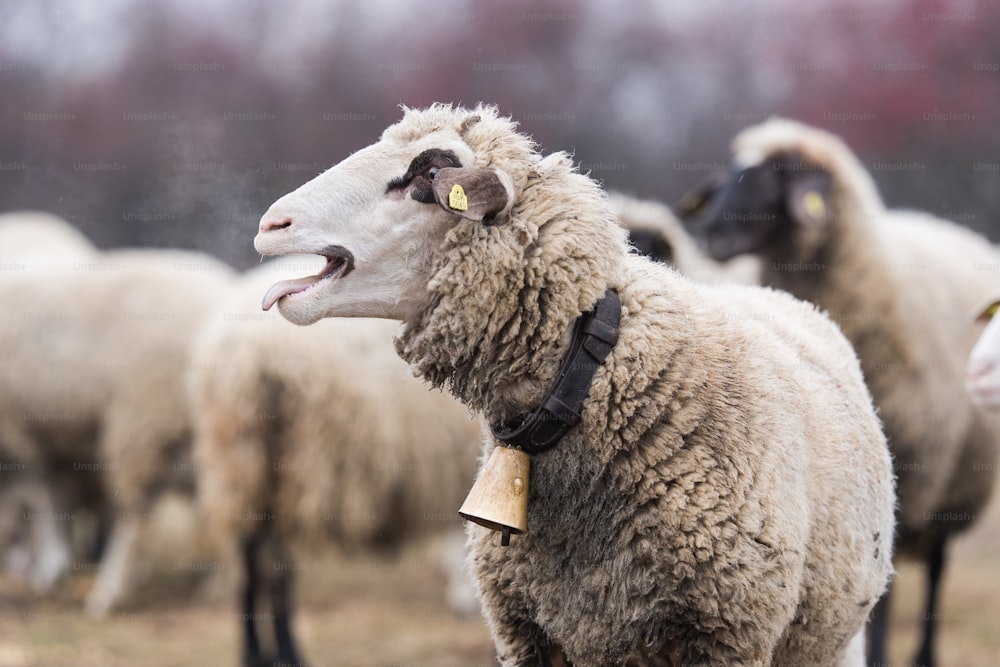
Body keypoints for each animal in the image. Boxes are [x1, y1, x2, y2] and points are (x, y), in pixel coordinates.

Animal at [0, 245, 236, 616]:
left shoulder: (23, 437)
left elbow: (44, 501)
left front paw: (50, 568)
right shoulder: (56, 439)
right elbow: (57, 499)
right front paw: (56, 565)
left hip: (139, 422)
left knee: (133, 515)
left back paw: (108, 593)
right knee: (220, 503)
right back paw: (221, 584)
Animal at [190, 258, 484, 667]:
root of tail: (244, 353)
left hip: (242, 461)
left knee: (250, 560)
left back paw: (253, 652)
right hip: (295, 461)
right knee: (275, 566)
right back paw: (288, 652)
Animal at [680, 116, 1000, 667]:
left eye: (776, 178)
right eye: (728, 173)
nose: (710, 238)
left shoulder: (903, 476)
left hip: (953, 483)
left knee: (936, 569)